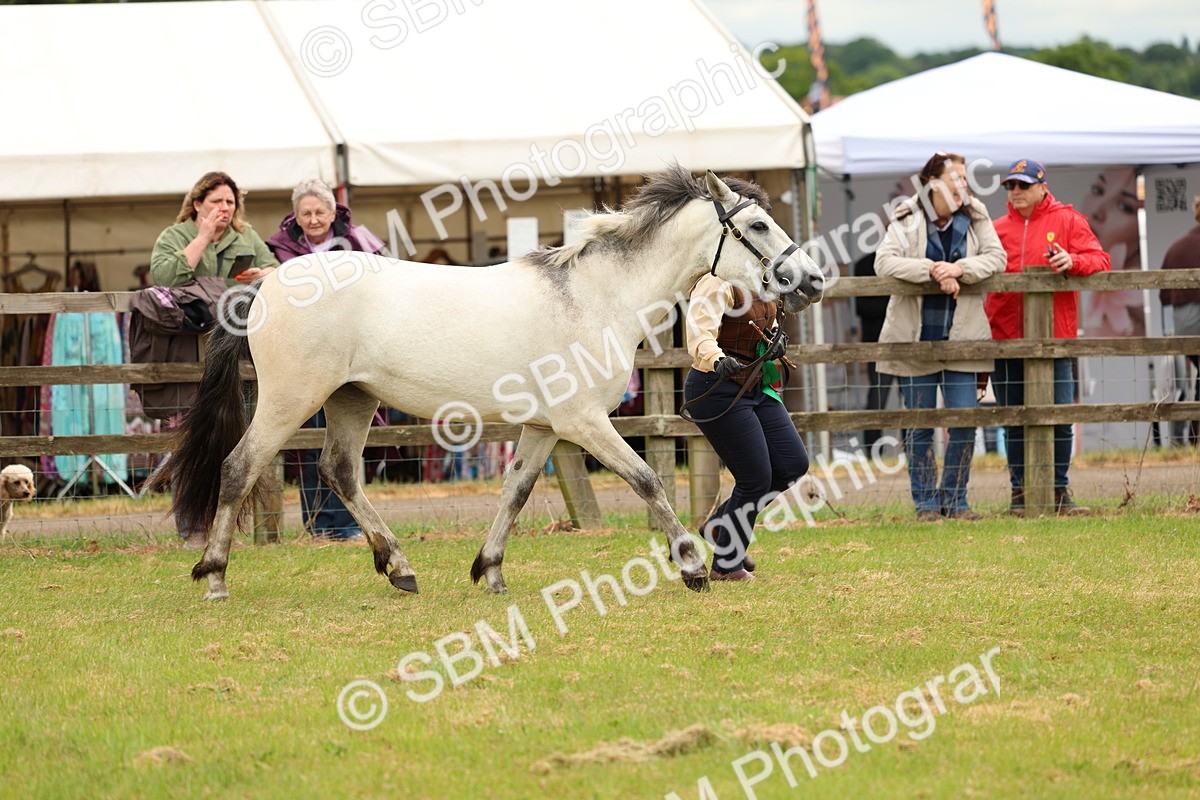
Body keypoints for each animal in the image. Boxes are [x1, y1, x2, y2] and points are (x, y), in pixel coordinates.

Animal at [157, 166, 825, 601]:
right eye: (758, 226)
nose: (814, 280)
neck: (596, 297)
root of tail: (263, 283)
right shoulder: (584, 423)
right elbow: (647, 480)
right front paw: (691, 566)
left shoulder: (544, 427)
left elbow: (516, 492)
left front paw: (490, 570)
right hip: (291, 399)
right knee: (239, 468)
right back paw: (214, 576)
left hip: (353, 399)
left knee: (340, 472)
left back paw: (398, 568)